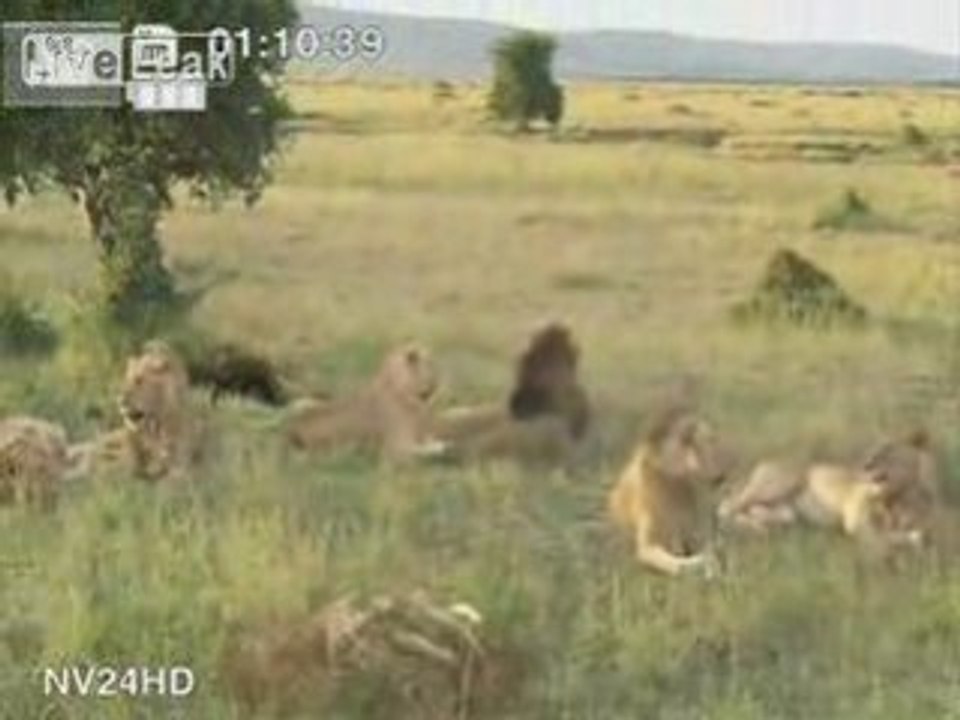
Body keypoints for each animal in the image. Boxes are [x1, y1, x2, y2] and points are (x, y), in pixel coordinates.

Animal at [285, 343, 449, 463]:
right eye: (432, 365)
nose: (439, 384)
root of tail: (291, 431)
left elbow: (430, 441)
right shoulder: (396, 449)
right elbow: (428, 449)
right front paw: (442, 448)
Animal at [608, 408, 732, 577]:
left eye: (710, 440)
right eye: (687, 441)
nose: (720, 476)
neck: (676, 488)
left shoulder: (699, 533)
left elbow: (709, 547)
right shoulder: (648, 545)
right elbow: (675, 563)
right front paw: (700, 565)